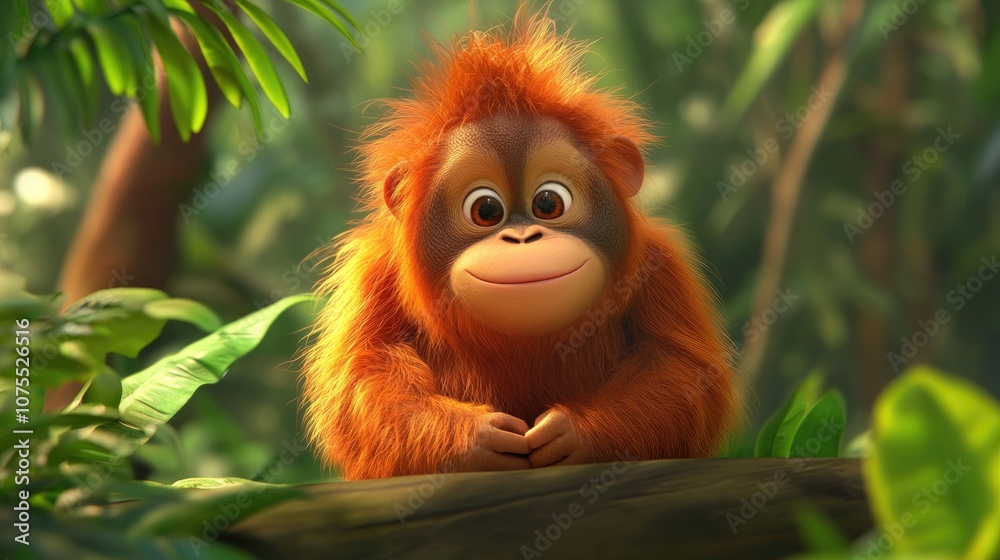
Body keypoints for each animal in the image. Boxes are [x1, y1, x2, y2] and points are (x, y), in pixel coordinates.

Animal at [302, 12, 740, 480]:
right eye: (485, 210)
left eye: (548, 203)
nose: (523, 238)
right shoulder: (373, 275)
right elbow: (362, 377)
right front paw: (478, 438)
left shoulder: (660, 264)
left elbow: (684, 370)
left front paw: (572, 432)